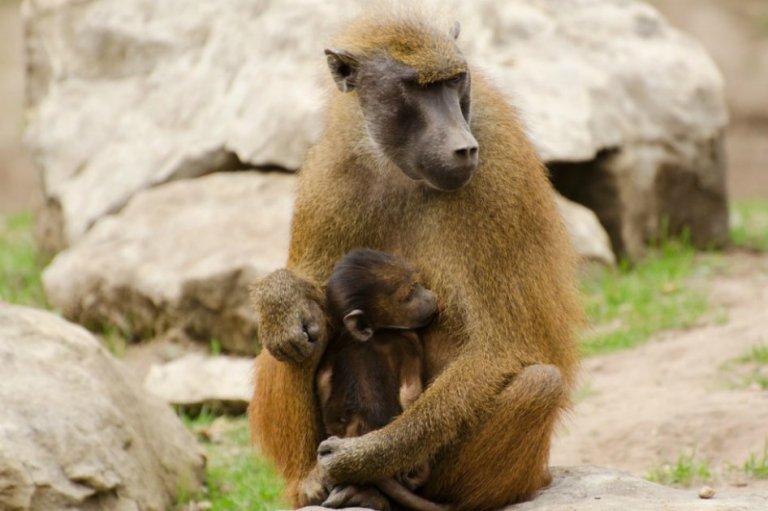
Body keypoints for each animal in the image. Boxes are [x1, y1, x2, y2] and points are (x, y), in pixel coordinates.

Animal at [313, 248, 449, 511]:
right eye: (409, 293)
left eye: (418, 284)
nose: (430, 295)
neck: (374, 332)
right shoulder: (409, 340)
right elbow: (410, 392)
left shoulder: (337, 342)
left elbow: (322, 380)